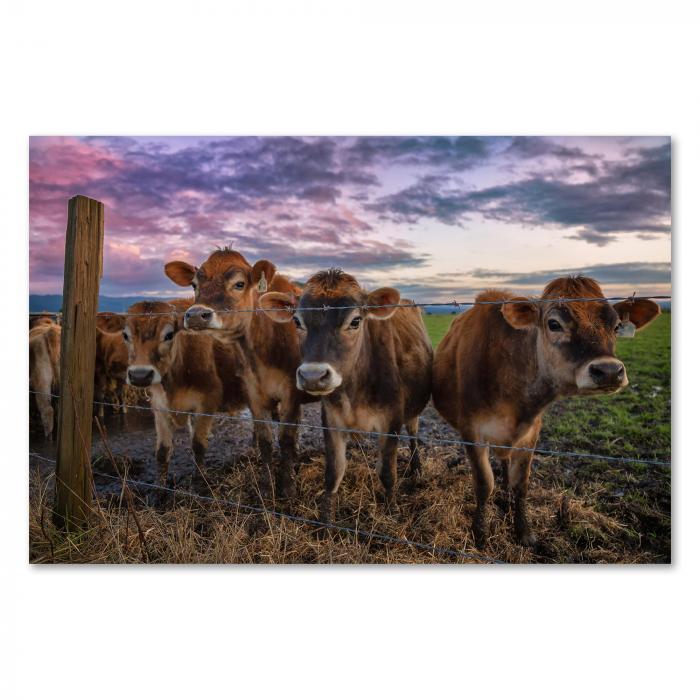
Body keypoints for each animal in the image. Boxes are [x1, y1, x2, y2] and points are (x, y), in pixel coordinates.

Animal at [123, 298, 249, 484]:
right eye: (125, 335)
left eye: (169, 335)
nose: (140, 375)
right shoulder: (159, 406)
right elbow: (162, 451)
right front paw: (160, 487)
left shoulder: (208, 400)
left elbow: (198, 445)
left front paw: (201, 480)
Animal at [164, 249, 312, 494]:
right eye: (194, 284)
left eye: (239, 284)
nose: (195, 315)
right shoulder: (253, 393)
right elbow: (265, 440)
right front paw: (266, 486)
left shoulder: (291, 392)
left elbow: (286, 440)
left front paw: (287, 487)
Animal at [258, 270, 432, 524]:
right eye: (297, 321)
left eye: (355, 321)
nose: (313, 376)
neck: (355, 389)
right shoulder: (331, 419)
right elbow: (334, 472)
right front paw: (325, 521)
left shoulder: (391, 421)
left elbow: (387, 473)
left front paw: (392, 511)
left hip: (412, 412)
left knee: (413, 435)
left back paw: (416, 468)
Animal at [432, 276, 660, 548]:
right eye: (554, 324)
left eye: (616, 326)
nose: (609, 371)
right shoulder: (472, 431)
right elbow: (484, 484)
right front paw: (481, 534)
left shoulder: (531, 432)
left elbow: (521, 483)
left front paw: (524, 531)